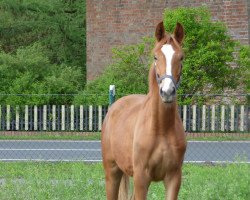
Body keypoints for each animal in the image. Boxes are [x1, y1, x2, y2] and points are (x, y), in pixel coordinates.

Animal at [101, 21, 186, 200]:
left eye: (181, 57)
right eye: (155, 56)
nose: (167, 92)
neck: (161, 128)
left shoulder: (174, 177)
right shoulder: (141, 177)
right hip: (112, 172)